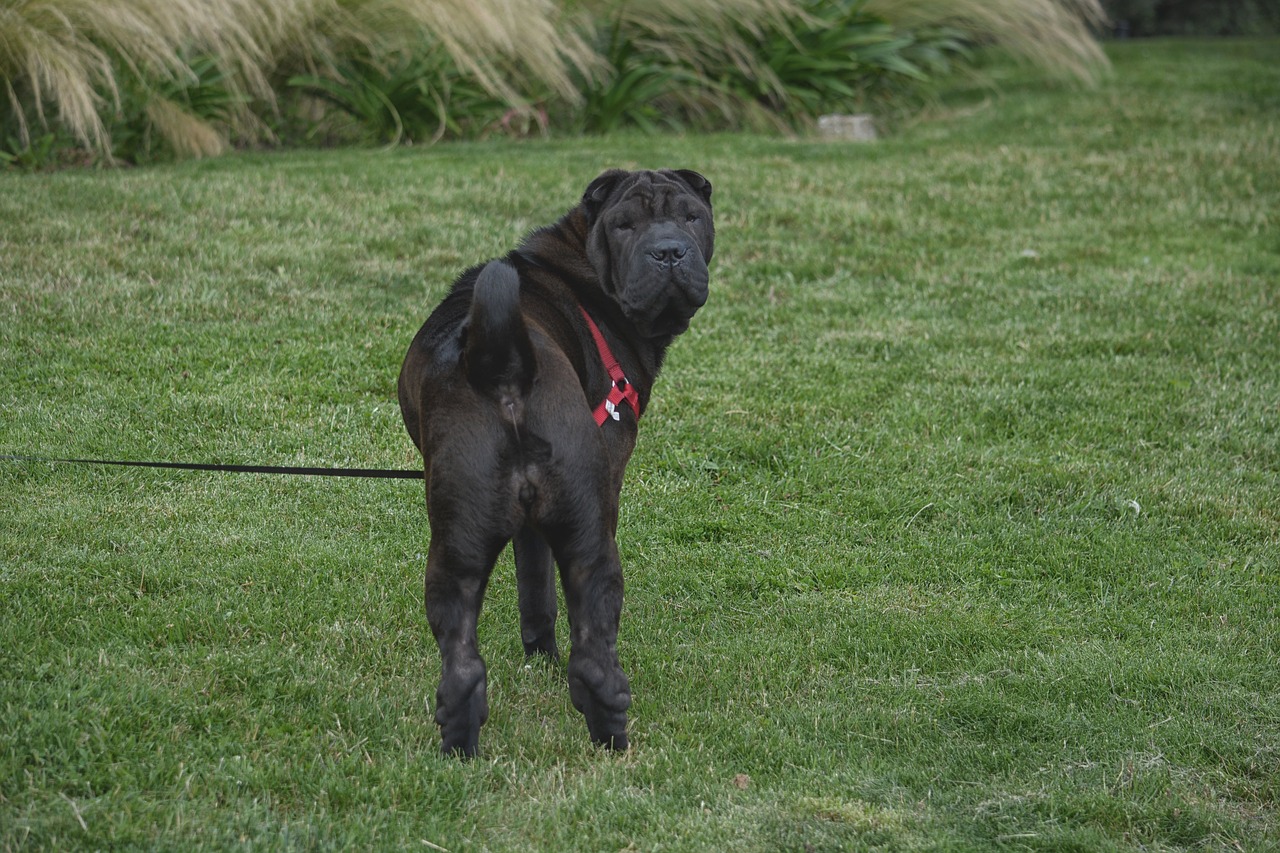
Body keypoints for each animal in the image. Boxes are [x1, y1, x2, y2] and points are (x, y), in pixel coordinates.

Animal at [399, 169, 716, 753]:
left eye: (690, 216)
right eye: (625, 225)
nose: (669, 252)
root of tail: (505, 373)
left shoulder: (533, 526)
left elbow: (535, 592)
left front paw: (539, 658)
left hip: (468, 545)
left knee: (469, 667)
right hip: (579, 533)